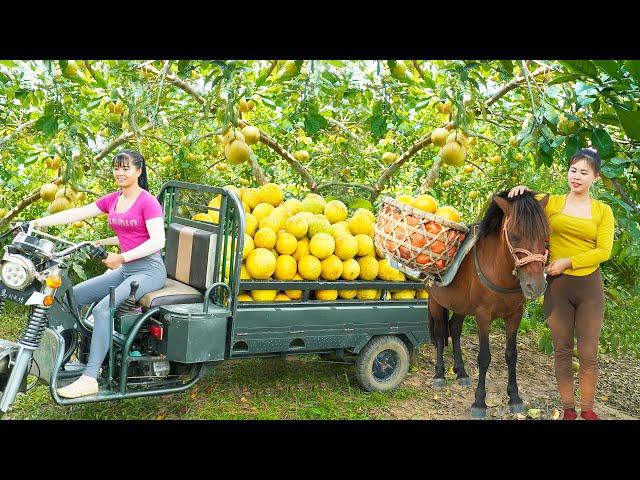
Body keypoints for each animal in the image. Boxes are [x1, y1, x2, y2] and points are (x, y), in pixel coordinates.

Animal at [428, 190, 548, 416]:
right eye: (515, 236)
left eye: (546, 237)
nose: (535, 286)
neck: (499, 270)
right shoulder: (483, 316)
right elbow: (484, 357)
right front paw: (479, 402)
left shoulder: (515, 315)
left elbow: (511, 355)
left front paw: (514, 397)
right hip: (435, 302)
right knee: (440, 333)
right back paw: (439, 374)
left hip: (460, 305)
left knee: (454, 329)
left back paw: (461, 372)